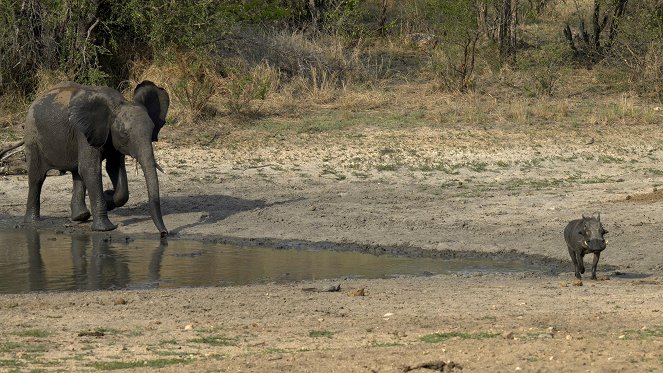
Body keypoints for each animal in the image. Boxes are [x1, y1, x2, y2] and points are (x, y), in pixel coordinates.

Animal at [24, 80, 171, 235]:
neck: (117, 104)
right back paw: (33, 222)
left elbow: (114, 168)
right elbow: (91, 169)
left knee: (77, 173)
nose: (164, 233)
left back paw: (80, 216)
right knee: (37, 178)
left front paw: (109, 198)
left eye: (152, 130)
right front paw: (105, 228)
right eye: (125, 134)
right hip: (32, 137)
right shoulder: (83, 132)